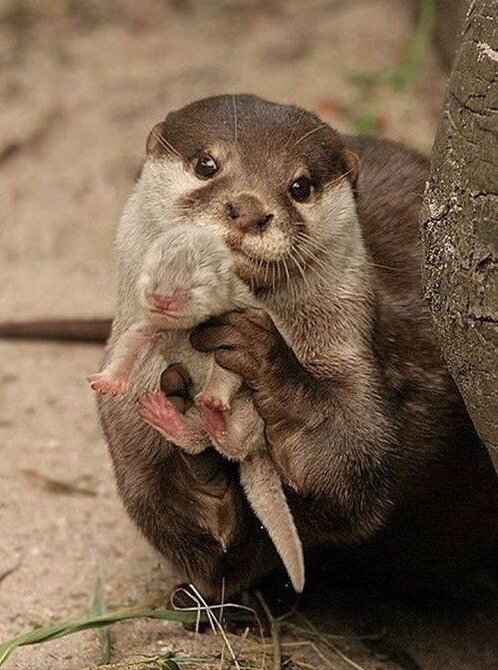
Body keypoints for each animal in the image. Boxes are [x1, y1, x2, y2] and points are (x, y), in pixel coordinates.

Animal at [2, 95, 497, 599]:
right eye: (206, 164)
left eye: (300, 186)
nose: (248, 208)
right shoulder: (126, 420)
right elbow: (185, 535)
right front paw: (196, 462)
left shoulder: (358, 356)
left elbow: (354, 464)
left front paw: (261, 355)